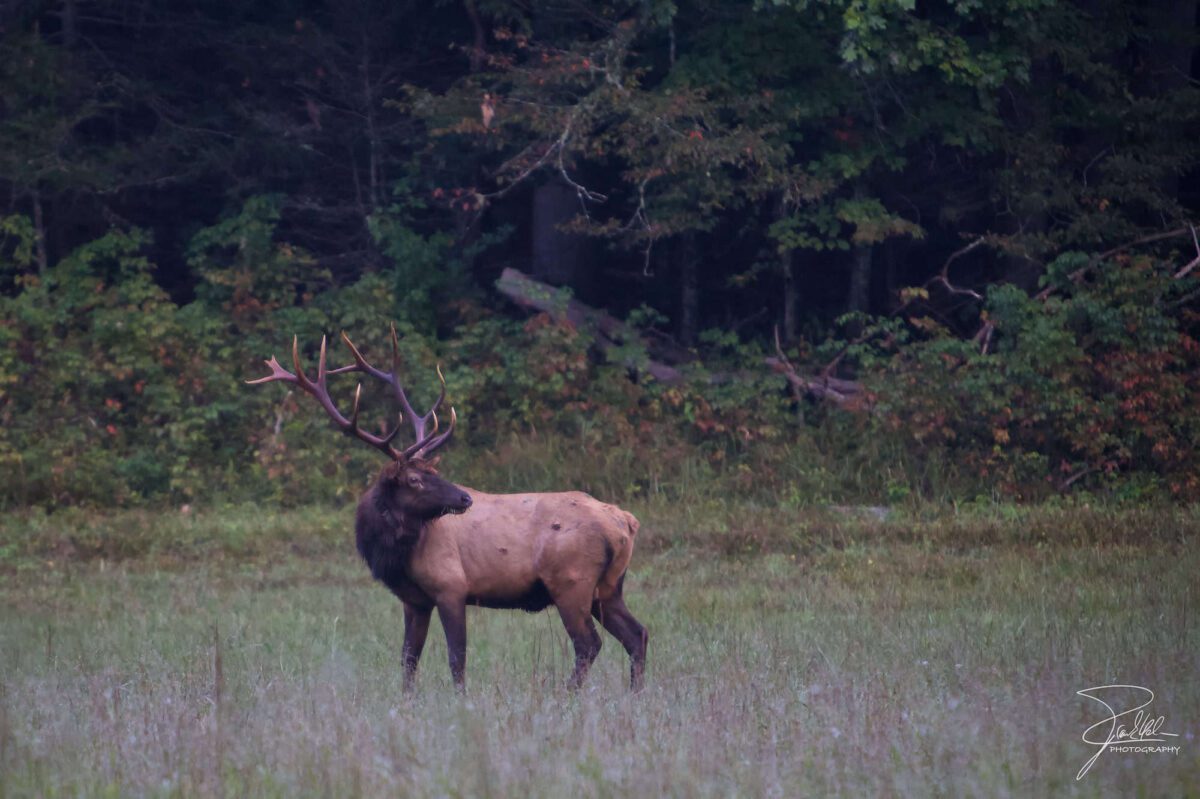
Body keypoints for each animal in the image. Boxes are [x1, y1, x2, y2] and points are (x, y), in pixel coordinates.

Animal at [248, 329, 647, 691]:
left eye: (432, 472)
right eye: (415, 479)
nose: (465, 498)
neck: (395, 554)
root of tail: (625, 523)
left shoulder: (451, 586)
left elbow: (457, 657)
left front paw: (460, 700)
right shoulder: (414, 600)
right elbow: (408, 658)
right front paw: (406, 702)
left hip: (571, 581)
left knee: (589, 644)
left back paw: (567, 696)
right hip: (608, 587)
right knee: (638, 634)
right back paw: (635, 694)